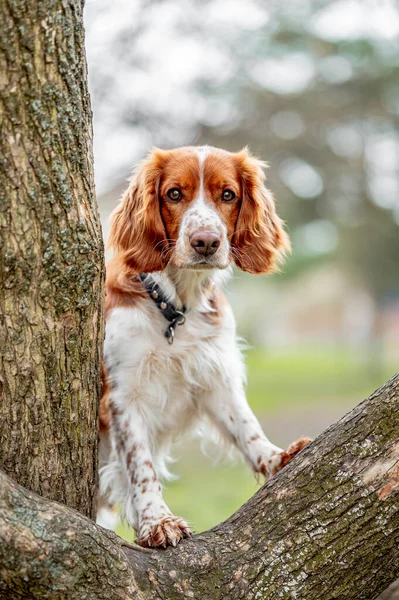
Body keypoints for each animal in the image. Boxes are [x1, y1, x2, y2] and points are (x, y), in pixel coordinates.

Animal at [98, 146, 310, 548]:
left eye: (227, 194)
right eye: (173, 194)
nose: (206, 241)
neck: (174, 306)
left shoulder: (214, 373)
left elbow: (246, 424)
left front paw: (276, 457)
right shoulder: (123, 395)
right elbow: (140, 465)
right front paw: (157, 521)